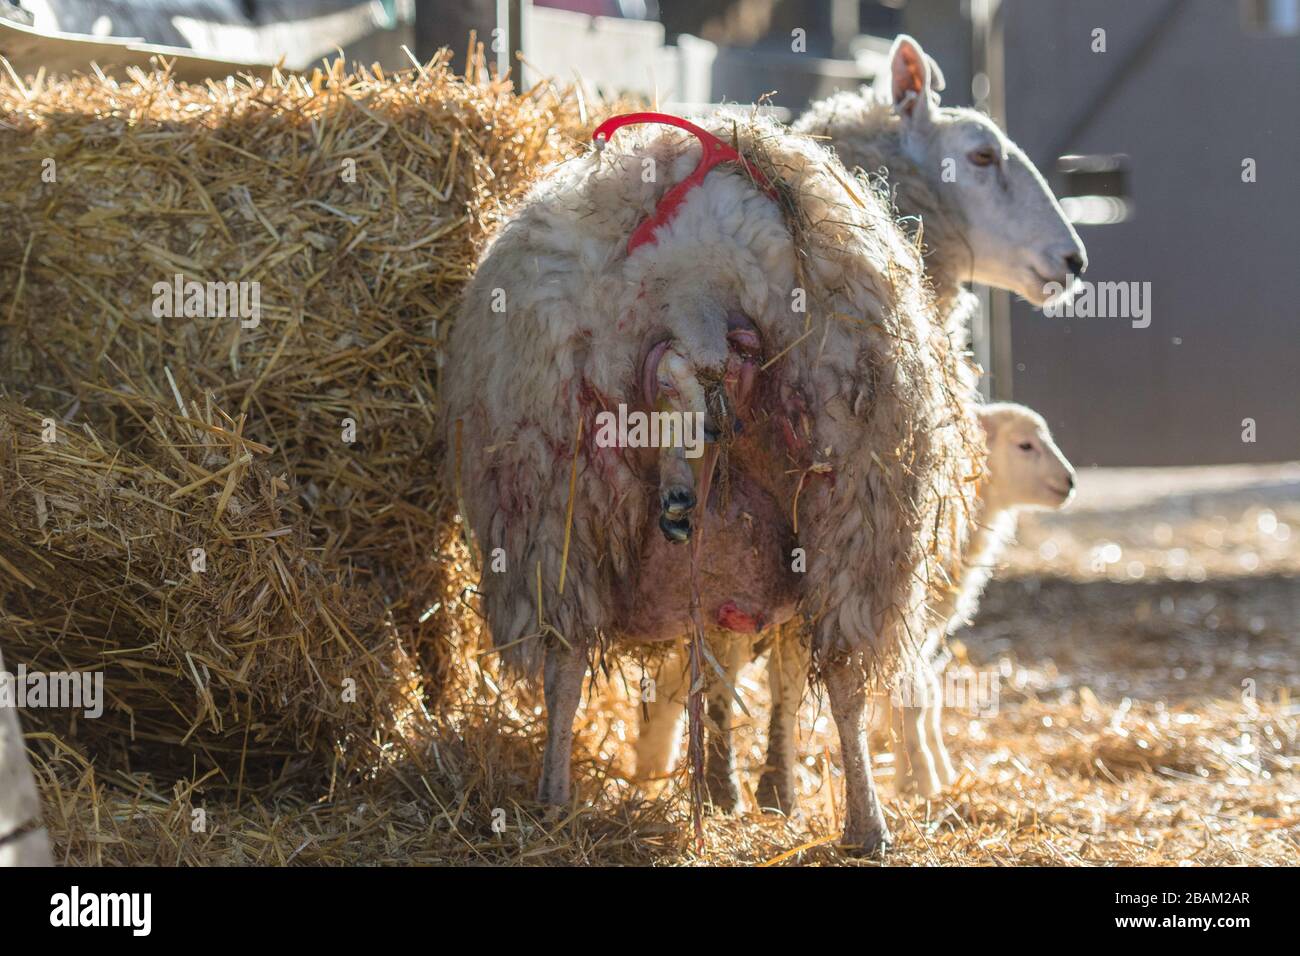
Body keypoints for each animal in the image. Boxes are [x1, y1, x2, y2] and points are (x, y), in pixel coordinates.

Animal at [443, 110, 980, 853]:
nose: (675, 510)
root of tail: (691, 290)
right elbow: (773, 667)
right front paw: (760, 788)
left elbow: (720, 656)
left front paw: (728, 787)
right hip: (857, 511)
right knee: (844, 674)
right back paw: (866, 825)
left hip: (549, 506)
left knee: (564, 660)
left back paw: (554, 799)